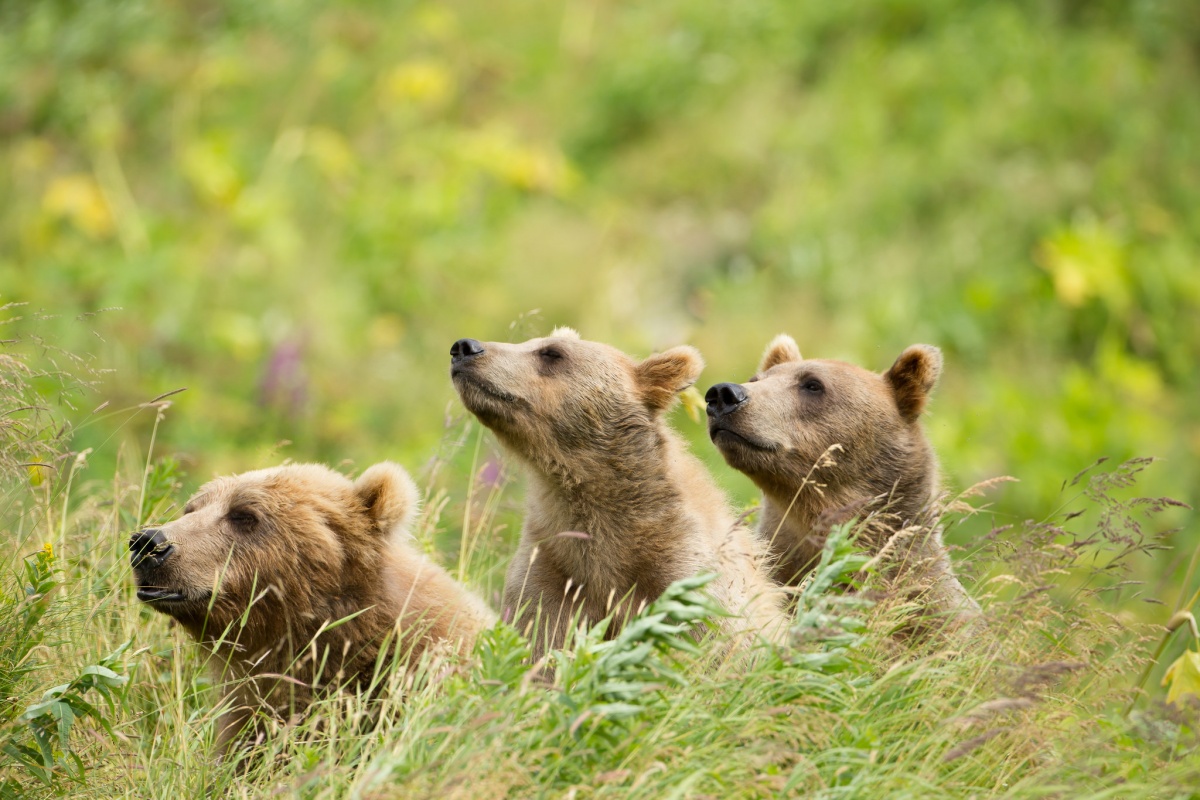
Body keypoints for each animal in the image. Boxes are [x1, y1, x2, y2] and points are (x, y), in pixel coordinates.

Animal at [451, 328, 787, 662]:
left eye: (552, 353)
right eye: (531, 343)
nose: (465, 348)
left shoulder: (682, 569)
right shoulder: (553, 566)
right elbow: (541, 640)